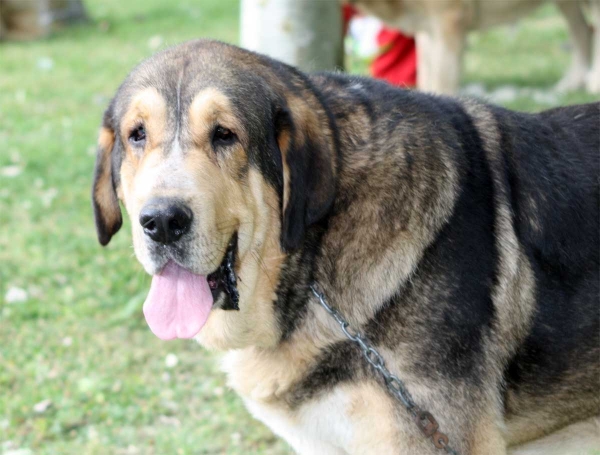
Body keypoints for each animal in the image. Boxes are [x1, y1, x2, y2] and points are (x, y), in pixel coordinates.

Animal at [346, 0, 600, 94]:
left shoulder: (449, 20)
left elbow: (442, 84)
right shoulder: (428, 30)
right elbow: (428, 80)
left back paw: (592, 83)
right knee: (583, 32)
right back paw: (572, 82)